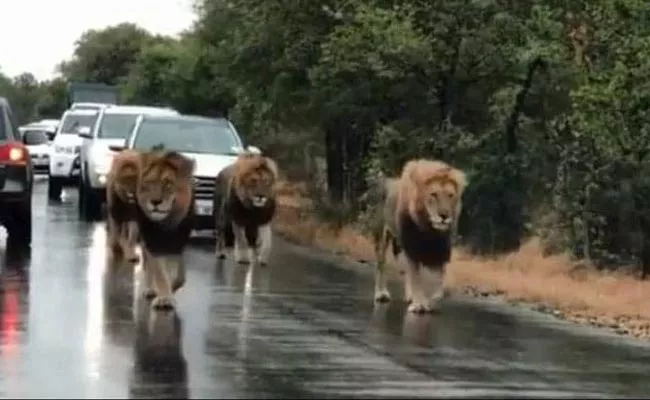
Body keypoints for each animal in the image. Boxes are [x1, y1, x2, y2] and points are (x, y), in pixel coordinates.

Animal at [135, 149, 196, 310]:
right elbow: (159, 271)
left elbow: (179, 275)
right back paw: (150, 289)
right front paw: (164, 297)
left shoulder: (178, 244)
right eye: (149, 183)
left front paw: (172, 288)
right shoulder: (152, 243)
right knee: (147, 264)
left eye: (168, 184)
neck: (167, 222)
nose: (155, 202)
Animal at [370, 158, 466, 314]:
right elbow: (416, 277)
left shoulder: (441, 252)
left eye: (450, 195)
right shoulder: (412, 246)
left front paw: (431, 302)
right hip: (382, 236)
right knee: (381, 264)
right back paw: (381, 293)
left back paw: (410, 297)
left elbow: (441, 285)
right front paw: (419, 304)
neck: (429, 229)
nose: (444, 216)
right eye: (433, 194)